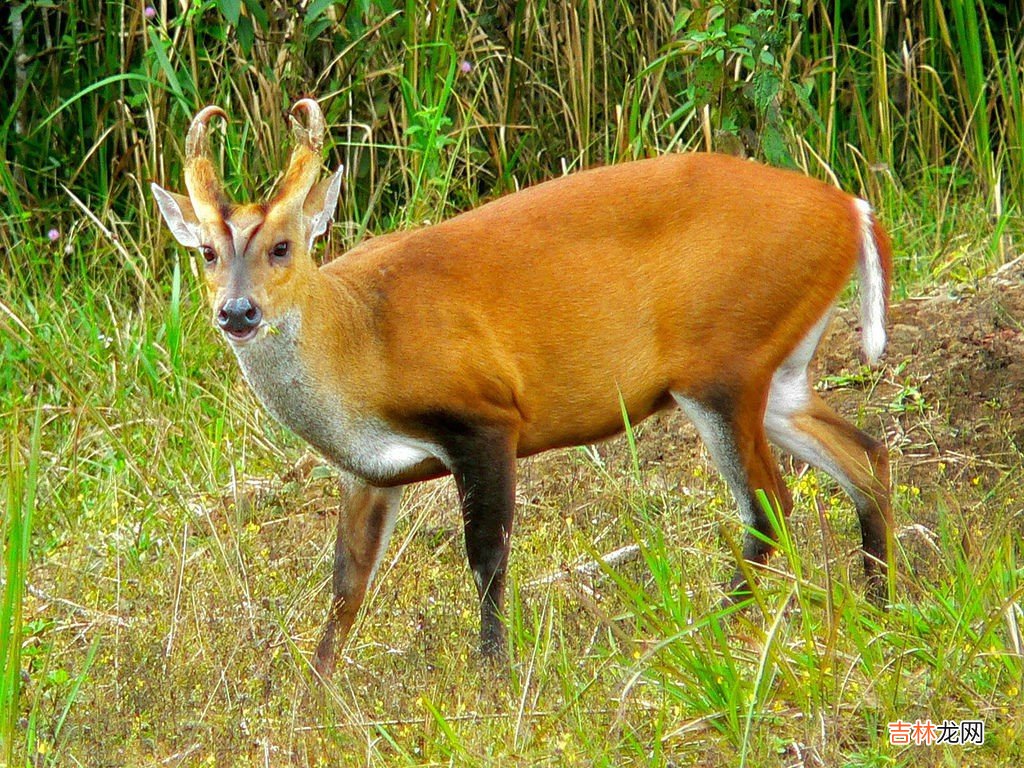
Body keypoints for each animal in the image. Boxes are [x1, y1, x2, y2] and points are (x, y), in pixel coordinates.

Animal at [148, 97, 892, 679]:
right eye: (206, 252)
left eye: (283, 247)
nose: (237, 313)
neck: (360, 340)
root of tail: (851, 208)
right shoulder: (368, 471)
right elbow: (346, 585)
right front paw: (316, 692)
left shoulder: (485, 416)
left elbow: (487, 556)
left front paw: (492, 672)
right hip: (777, 369)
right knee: (864, 453)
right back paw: (880, 605)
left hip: (722, 361)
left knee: (771, 502)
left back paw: (703, 634)